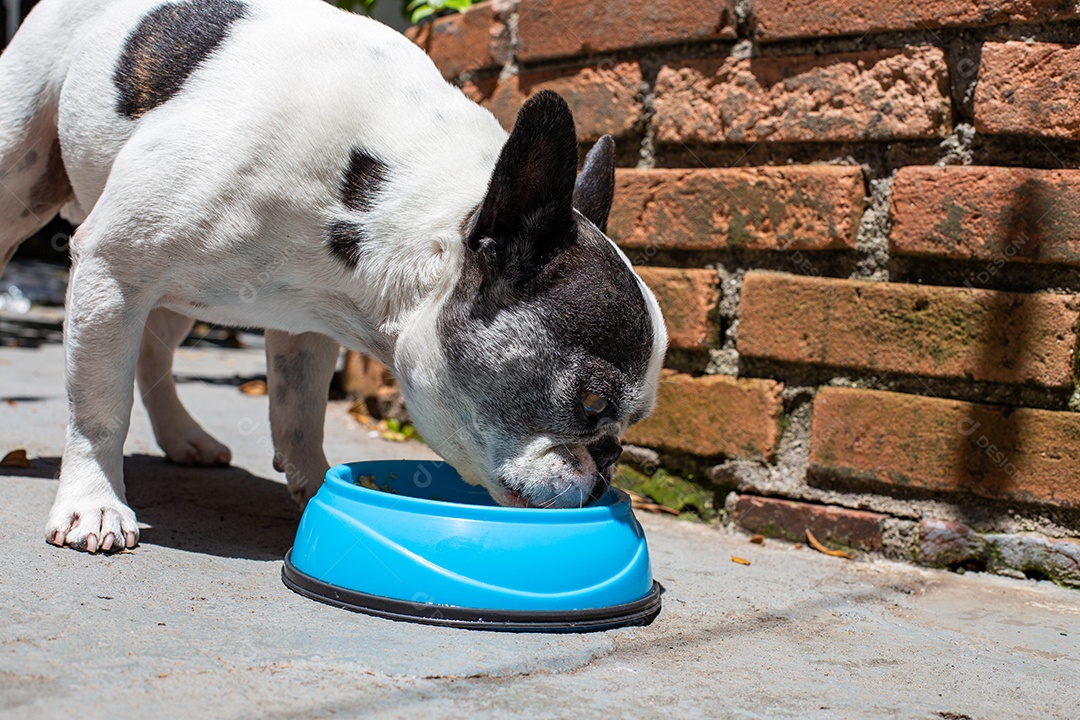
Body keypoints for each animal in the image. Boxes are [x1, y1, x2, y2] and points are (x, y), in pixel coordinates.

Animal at [0, 0, 665, 557]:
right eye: (592, 402)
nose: (609, 462)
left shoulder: (304, 322)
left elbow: (300, 413)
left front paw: (319, 490)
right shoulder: (114, 266)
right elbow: (98, 408)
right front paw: (93, 504)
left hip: (177, 297)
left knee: (154, 354)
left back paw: (185, 437)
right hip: (23, 180)